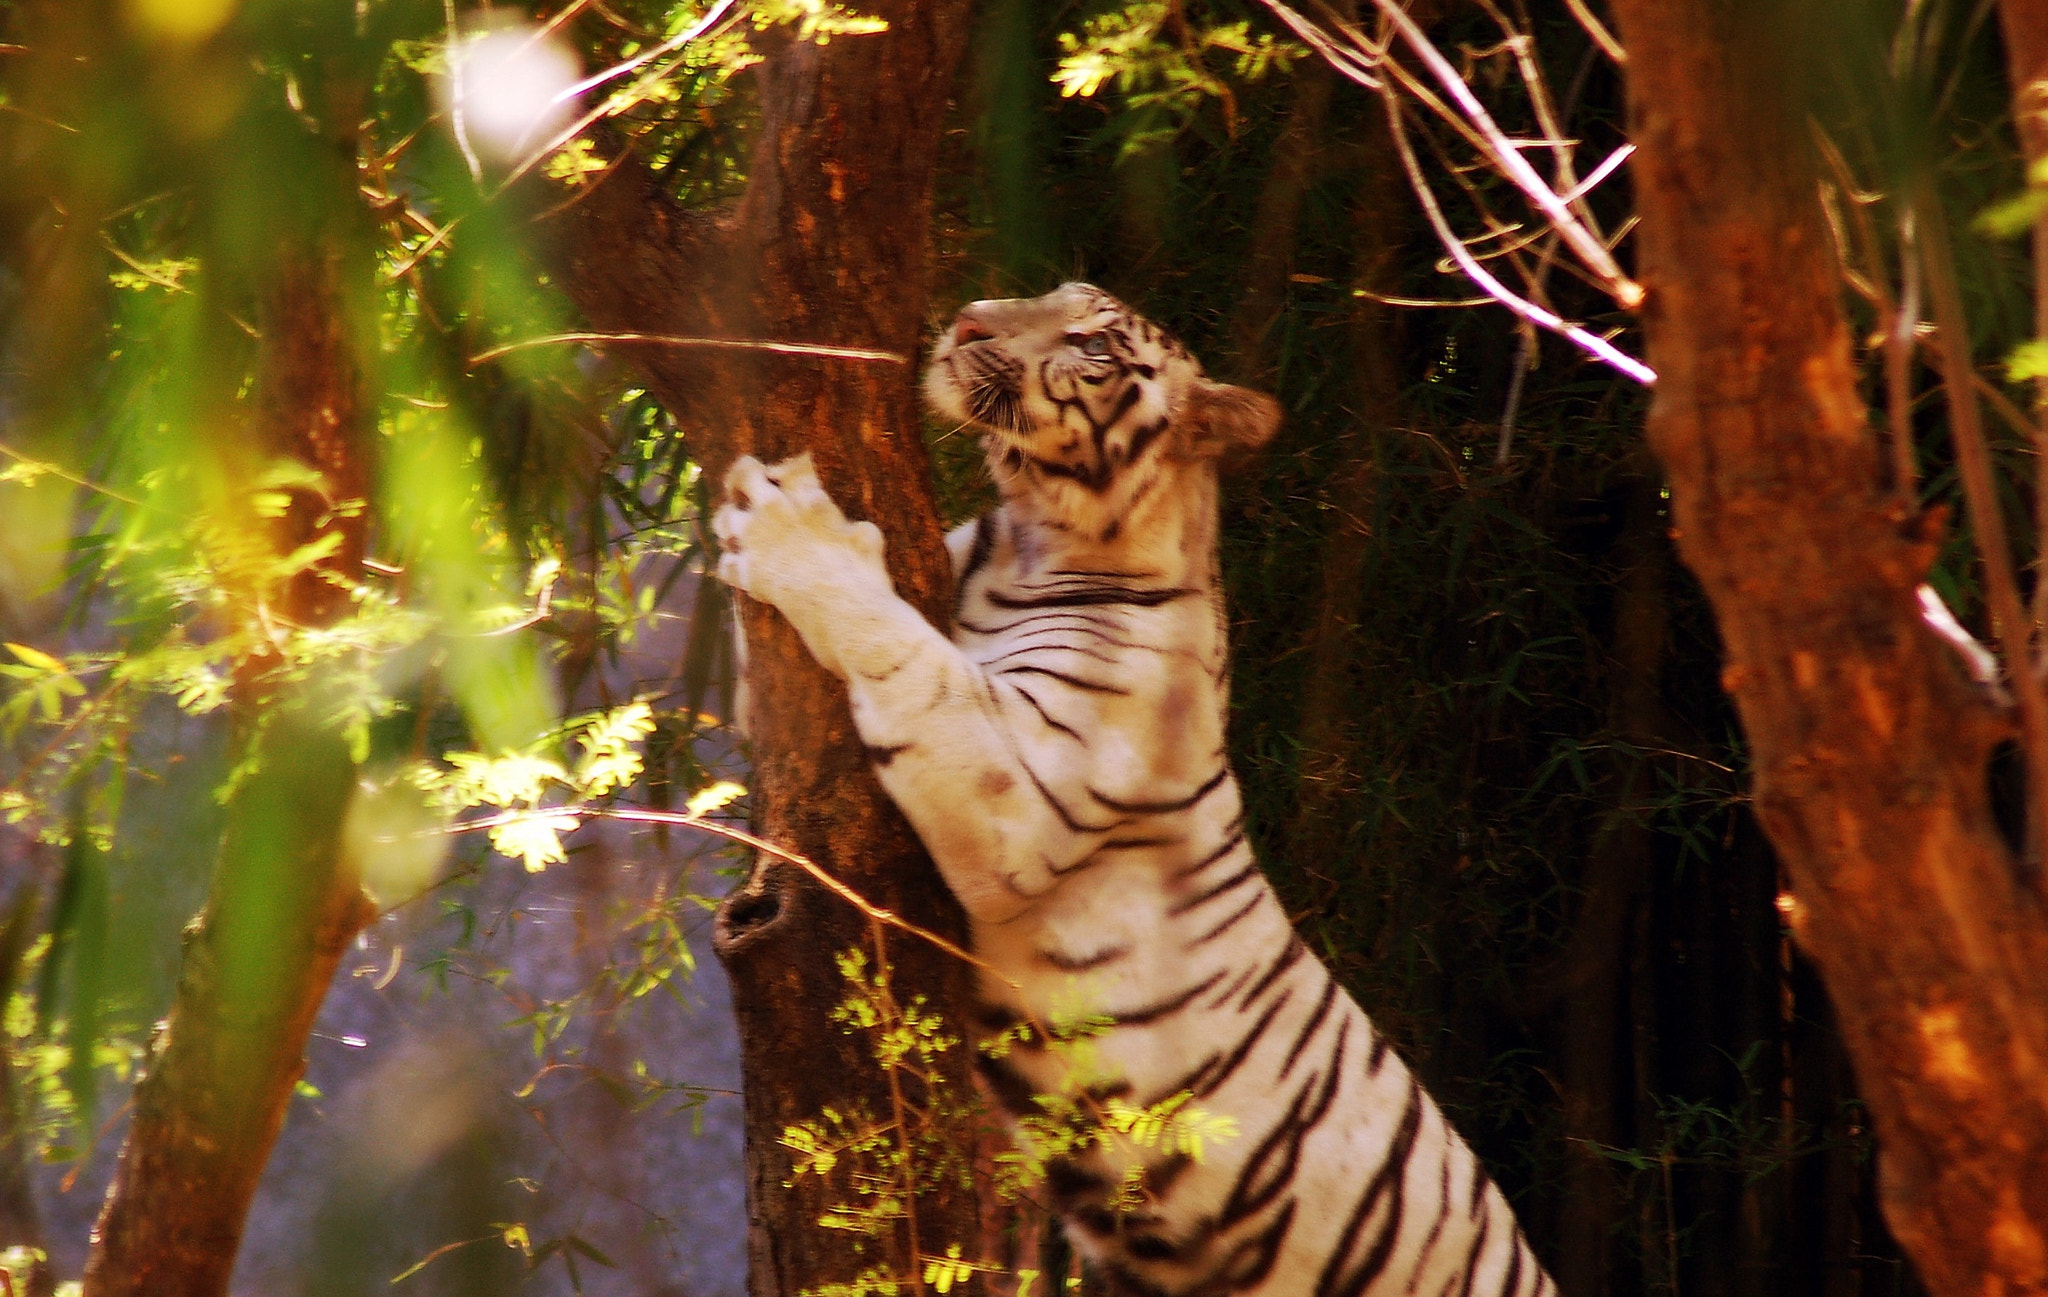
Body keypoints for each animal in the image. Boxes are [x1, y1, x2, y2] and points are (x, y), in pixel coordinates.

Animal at [712, 283, 1557, 1297]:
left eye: (1091, 345)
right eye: (1049, 297)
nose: (970, 318)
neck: (1027, 534)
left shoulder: (1016, 804)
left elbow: (902, 648)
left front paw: (793, 528)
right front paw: (735, 512)